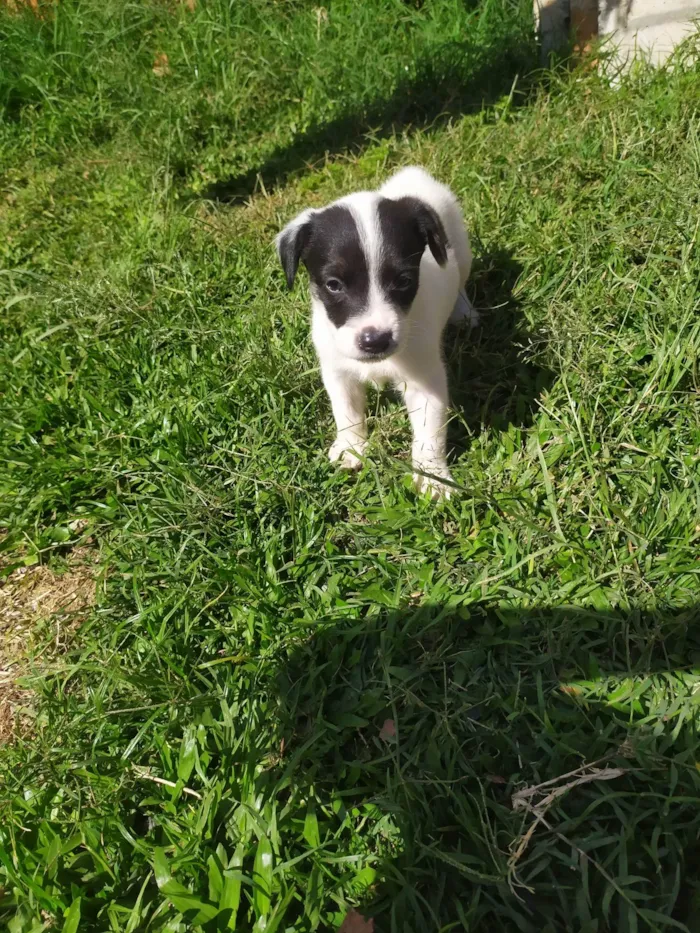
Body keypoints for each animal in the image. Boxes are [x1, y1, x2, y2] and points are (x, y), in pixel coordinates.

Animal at [274, 167, 476, 502]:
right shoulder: (338, 371)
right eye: (333, 285)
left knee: (460, 279)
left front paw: (433, 477)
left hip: (460, 247)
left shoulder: (425, 380)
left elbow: (429, 432)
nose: (375, 340)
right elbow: (346, 411)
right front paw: (351, 447)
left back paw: (464, 311)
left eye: (404, 280)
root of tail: (411, 174)